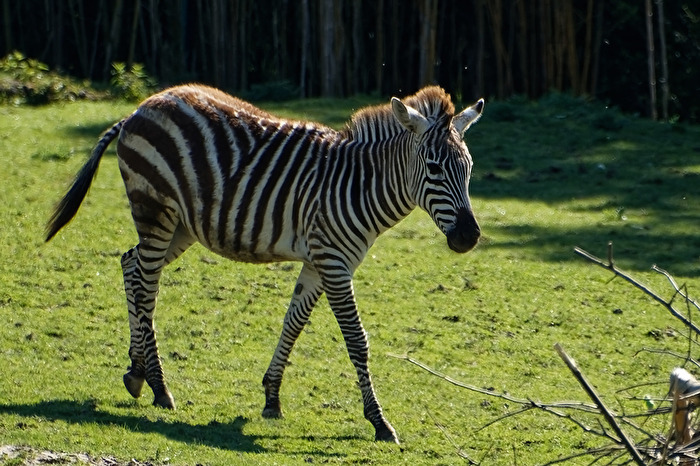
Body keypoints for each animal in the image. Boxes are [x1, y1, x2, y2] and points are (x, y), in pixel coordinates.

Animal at [45, 84, 484, 444]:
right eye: (434, 168)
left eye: (469, 168)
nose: (469, 237)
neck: (359, 185)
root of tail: (140, 107)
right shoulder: (334, 262)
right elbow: (357, 340)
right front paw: (379, 422)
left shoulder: (318, 262)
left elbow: (293, 323)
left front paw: (272, 397)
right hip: (155, 210)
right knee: (145, 286)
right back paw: (158, 386)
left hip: (181, 226)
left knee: (130, 265)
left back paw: (136, 372)